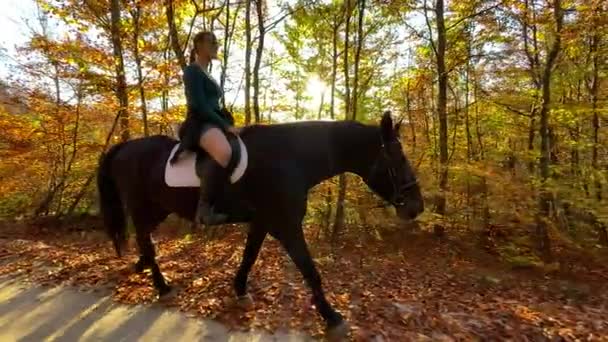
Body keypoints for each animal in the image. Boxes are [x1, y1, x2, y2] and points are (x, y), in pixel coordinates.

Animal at [97, 111, 426, 338]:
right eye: (398, 158)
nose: (417, 207)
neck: (290, 159)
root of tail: (124, 147)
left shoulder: (263, 222)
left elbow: (249, 256)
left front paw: (241, 291)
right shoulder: (286, 225)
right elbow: (310, 270)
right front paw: (331, 316)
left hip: (157, 210)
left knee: (145, 239)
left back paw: (141, 267)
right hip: (143, 207)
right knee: (145, 239)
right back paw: (162, 286)